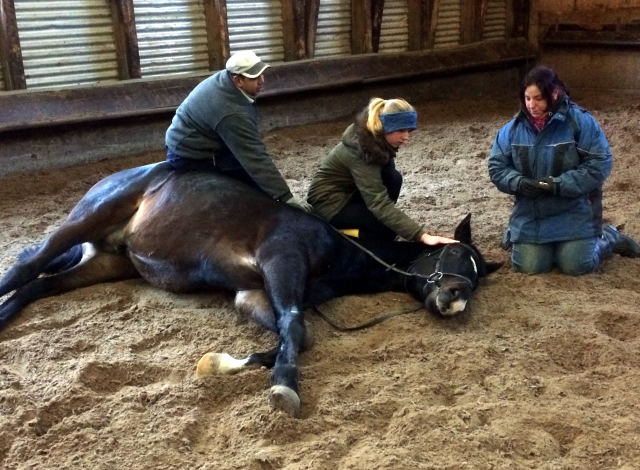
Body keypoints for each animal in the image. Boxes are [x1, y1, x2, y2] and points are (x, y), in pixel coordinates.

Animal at [0, 162, 500, 418]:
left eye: (477, 276)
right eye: (455, 256)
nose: (456, 299)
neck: (340, 246)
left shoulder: (255, 294)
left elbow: (295, 335)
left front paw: (229, 365)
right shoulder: (281, 262)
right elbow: (296, 328)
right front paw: (284, 386)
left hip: (109, 261)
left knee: (40, 286)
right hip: (90, 218)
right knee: (27, 263)